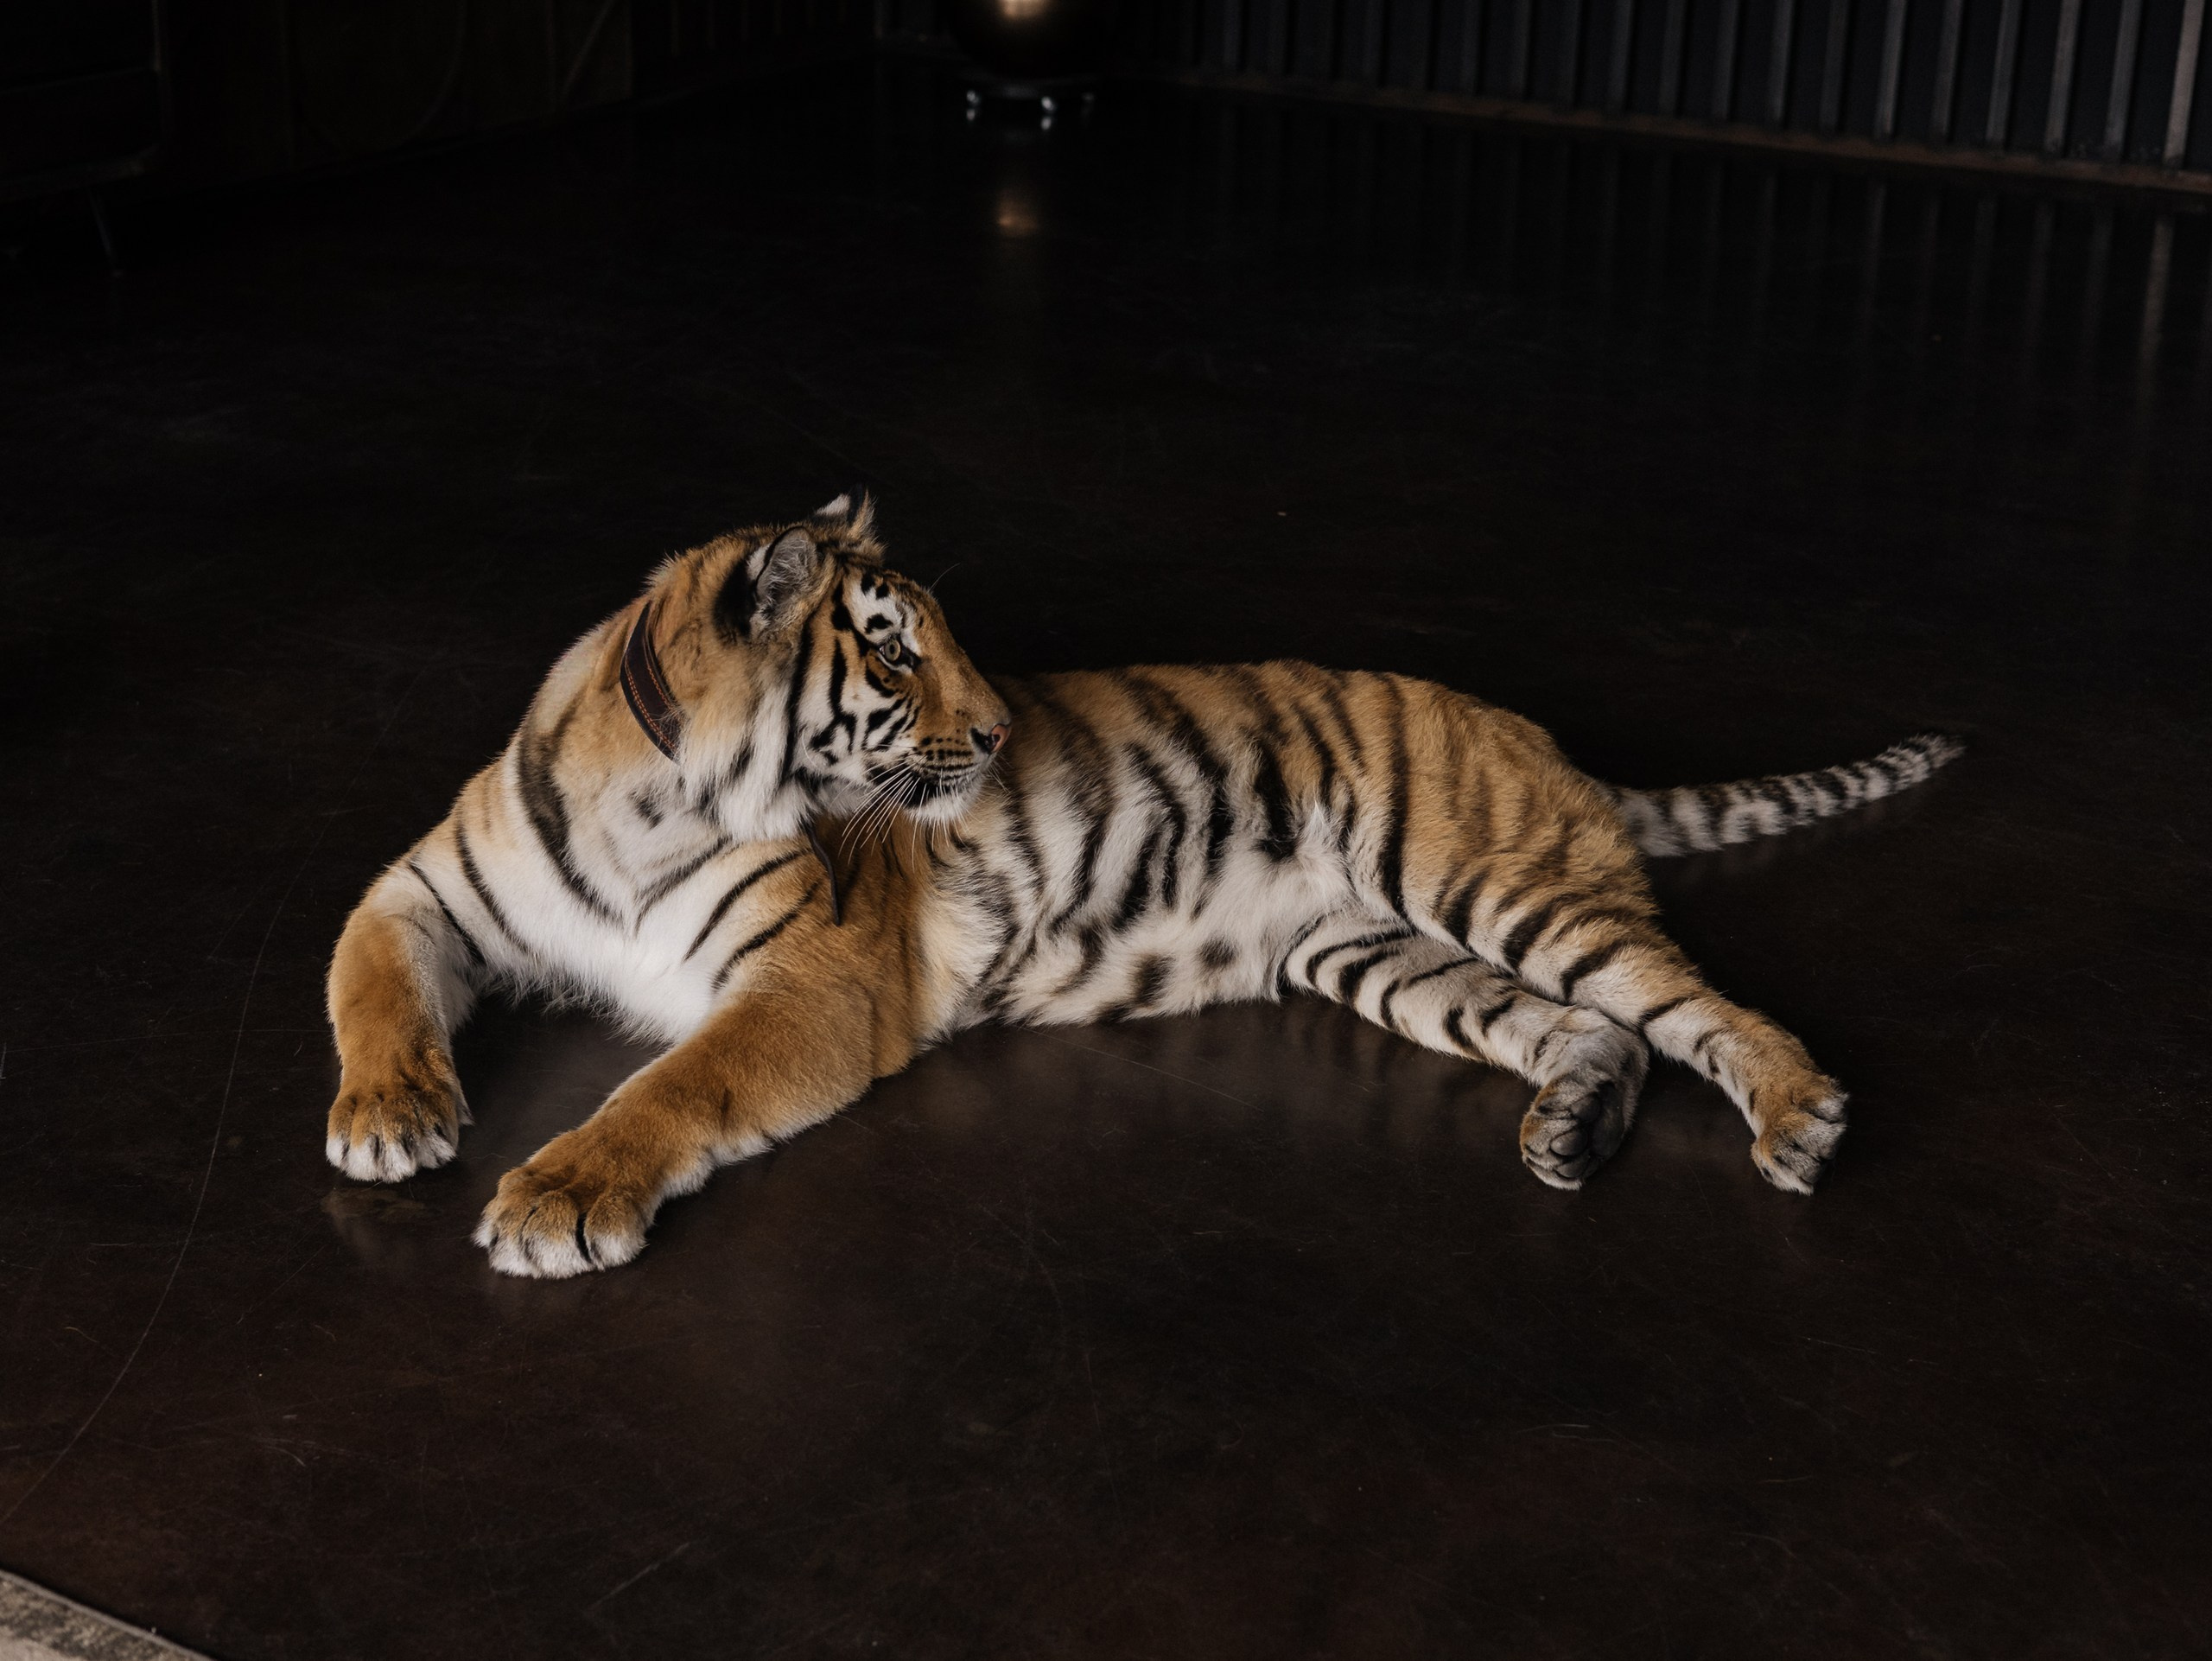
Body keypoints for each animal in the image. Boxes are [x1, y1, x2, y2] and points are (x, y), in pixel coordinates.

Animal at [324, 495, 1962, 1278]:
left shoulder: (811, 981)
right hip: (1381, 954)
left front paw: (557, 1195)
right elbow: (369, 984)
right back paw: (1570, 1130)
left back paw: (1798, 1116)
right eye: (893, 651)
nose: (998, 733)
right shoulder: (423, 888)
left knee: (1699, 1005)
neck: (652, 797)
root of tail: (1548, 743)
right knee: (1599, 1028)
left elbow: (671, 1087)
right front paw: (392, 1115)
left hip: (1497, 887)